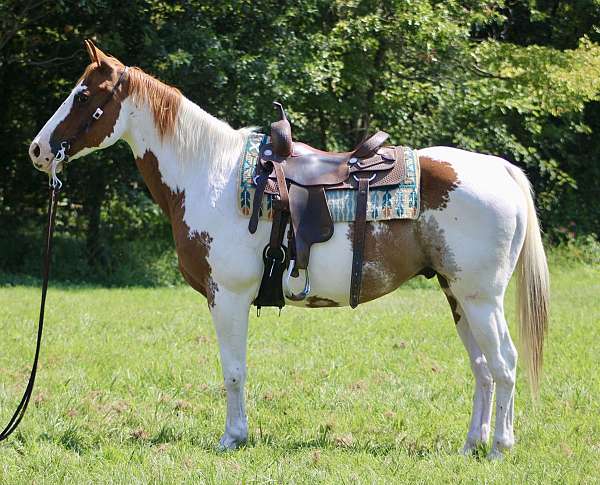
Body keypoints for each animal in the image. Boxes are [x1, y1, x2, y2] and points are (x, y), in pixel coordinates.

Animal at [30, 41, 552, 458]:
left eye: (82, 95)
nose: (38, 150)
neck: (209, 174)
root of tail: (500, 169)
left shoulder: (228, 296)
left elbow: (233, 370)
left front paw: (232, 438)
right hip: (456, 295)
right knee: (483, 369)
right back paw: (471, 445)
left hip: (482, 299)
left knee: (504, 365)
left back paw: (499, 448)